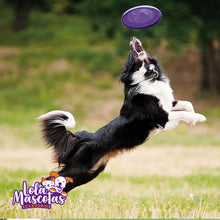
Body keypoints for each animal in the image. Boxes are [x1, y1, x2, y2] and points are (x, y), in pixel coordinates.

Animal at [37, 36, 205, 192]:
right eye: (130, 56)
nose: (133, 38)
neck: (148, 79)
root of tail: (82, 138)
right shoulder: (162, 118)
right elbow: (182, 113)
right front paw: (198, 118)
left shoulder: (168, 105)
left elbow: (186, 104)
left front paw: (194, 118)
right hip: (79, 169)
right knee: (47, 179)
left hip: (88, 173)